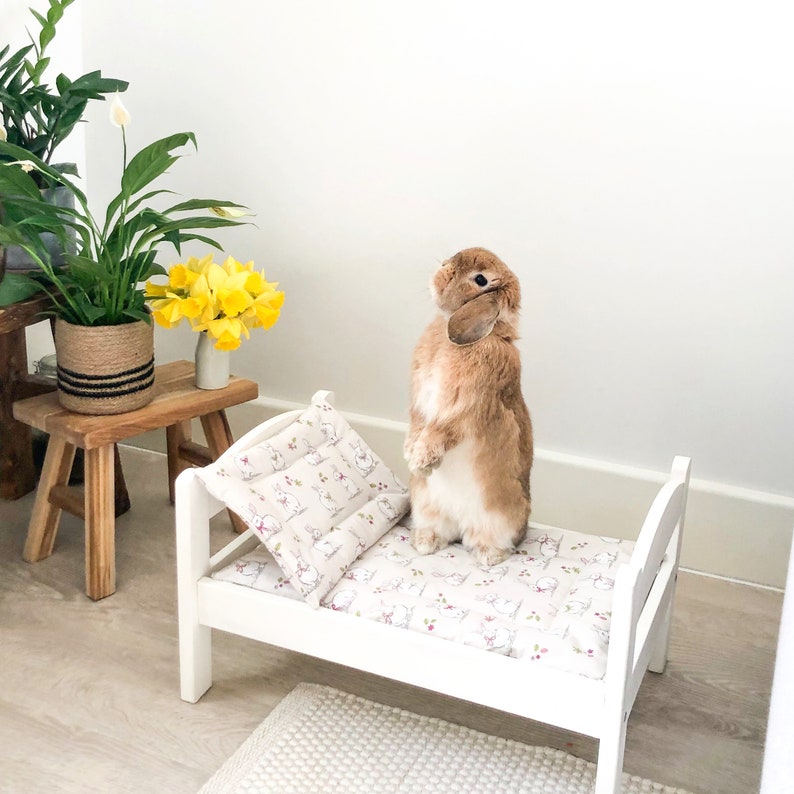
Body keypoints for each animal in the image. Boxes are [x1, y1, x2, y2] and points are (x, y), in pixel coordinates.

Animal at [405, 247, 533, 567]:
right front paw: (410, 453)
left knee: (489, 540)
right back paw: (425, 543)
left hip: (498, 519)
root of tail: (459, 523)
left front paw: (421, 461)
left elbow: (441, 430)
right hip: (425, 505)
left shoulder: (466, 408)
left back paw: (489, 557)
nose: (442, 266)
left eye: (481, 280)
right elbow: (417, 422)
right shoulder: (419, 402)